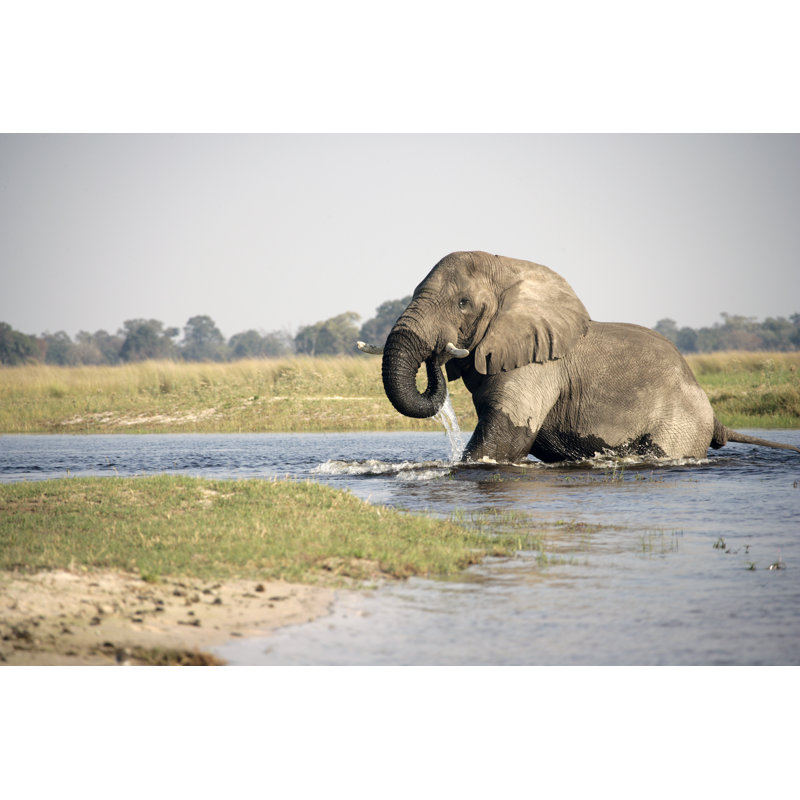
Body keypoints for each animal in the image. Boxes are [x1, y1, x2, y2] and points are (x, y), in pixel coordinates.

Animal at [358, 251, 800, 463]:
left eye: (463, 304)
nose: (438, 353)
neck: (510, 269)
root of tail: (715, 417)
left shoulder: (539, 367)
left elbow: (507, 437)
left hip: (681, 422)